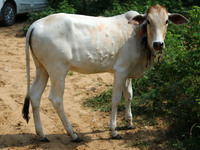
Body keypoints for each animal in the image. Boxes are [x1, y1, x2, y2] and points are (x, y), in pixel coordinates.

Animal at [22, 3, 188, 142]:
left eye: (166, 21)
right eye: (148, 21)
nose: (158, 44)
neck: (138, 35)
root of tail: (35, 25)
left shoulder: (128, 72)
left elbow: (129, 95)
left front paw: (129, 123)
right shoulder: (120, 70)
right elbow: (116, 100)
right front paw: (114, 131)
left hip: (42, 69)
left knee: (35, 95)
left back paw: (41, 134)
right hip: (58, 70)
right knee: (56, 99)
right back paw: (73, 134)